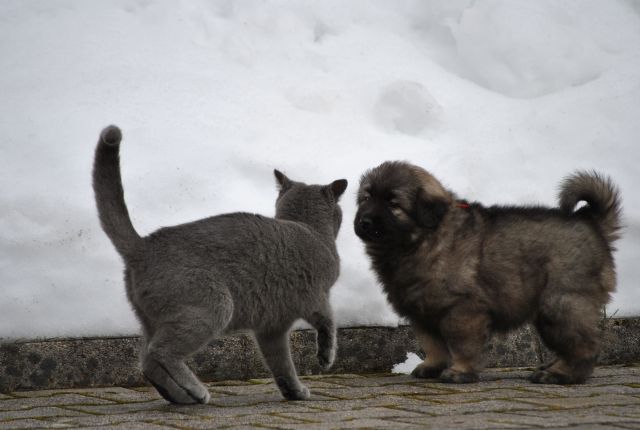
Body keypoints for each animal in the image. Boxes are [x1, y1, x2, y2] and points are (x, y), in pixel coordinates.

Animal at [92, 124, 348, 404]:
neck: (310, 229)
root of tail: (143, 246)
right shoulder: (316, 297)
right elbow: (329, 322)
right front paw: (326, 358)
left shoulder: (272, 327)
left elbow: (282, 365)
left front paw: (295, 392)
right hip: (216, 305)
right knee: (160, 351)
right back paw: (196, 390)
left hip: (152, 320)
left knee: (148, 362)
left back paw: (182, 396)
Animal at [356, 161, 620, 382]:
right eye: (366, 198)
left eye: (393, 203)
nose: (364, 222)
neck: (422, 240)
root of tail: (592, 223)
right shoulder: (423, 311)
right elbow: (433, 344)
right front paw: (431, 367)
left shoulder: (462, 309)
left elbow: (462, 345)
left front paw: (460, 371)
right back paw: (550, 368)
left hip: (561, 302)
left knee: (584, 345)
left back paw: (560, 375)